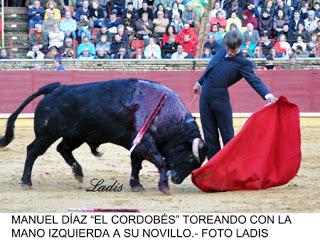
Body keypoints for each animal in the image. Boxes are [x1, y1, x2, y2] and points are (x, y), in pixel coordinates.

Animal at [0, 79, 208, 194]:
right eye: (190, 158)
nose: (177, 180)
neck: (164, 112)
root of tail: (55, 88)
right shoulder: (145, 143)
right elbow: (160, 162)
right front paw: (163, 187)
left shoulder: (138, 146)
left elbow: (136, 164)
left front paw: (136, 185)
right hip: (47, 134)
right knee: (33, 151)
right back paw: (26, 182)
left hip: (75, 135)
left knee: (63, 149)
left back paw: (78, 173)